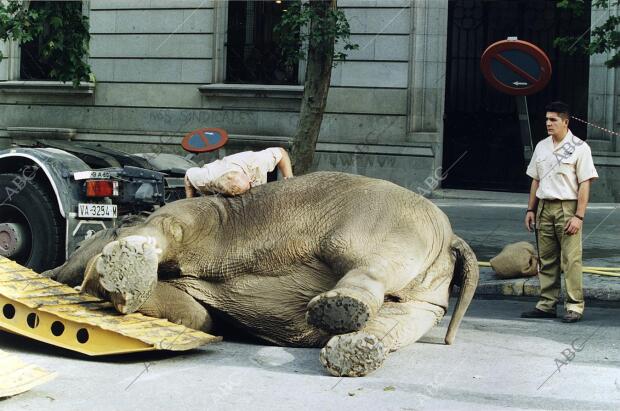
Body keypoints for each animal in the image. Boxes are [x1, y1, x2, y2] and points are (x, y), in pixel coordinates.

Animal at [47, 172, 480, 378]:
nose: (51, 271)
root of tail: (453, 238)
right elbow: (199, 315)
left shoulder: (202, 217)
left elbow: (173, 228)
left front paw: (118, 273)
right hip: (427, 300)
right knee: (394, 326)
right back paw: (354, 352)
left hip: (389, 226)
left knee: (370, 265)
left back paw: (338, 311)